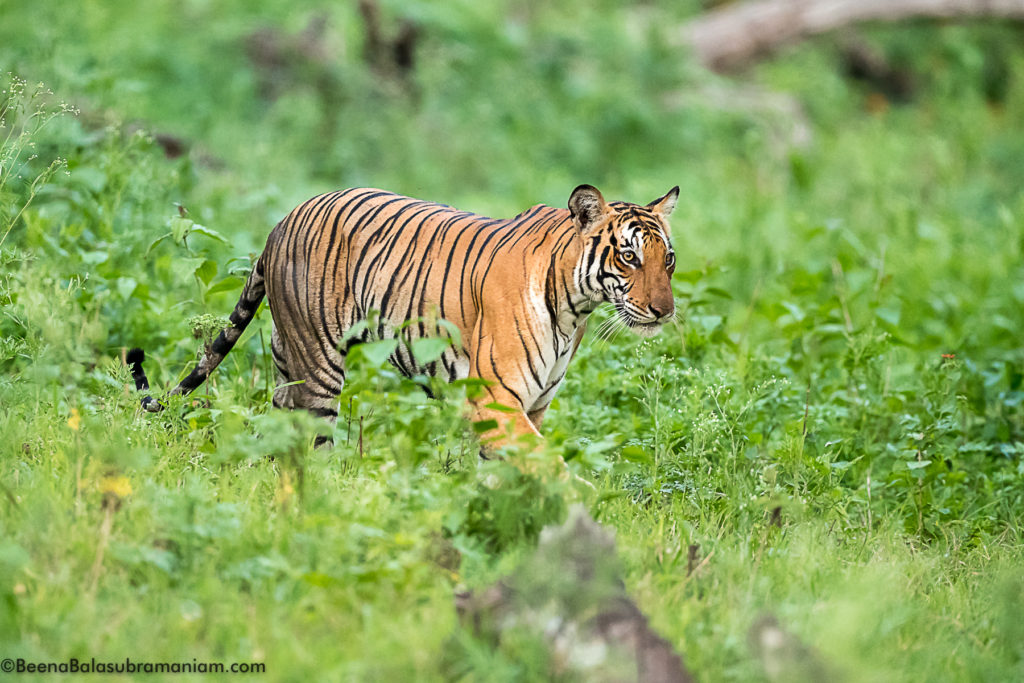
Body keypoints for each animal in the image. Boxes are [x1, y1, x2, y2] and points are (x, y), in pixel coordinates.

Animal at [132, 187, 679, 450]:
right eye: (629, 257)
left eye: (668, 259)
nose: (665, 311)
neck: (573, 308)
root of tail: (279, 224)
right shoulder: (496, 397)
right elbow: (545, 463)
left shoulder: (534, 404)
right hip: (320, 364)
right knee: (313, 438)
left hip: (290, 359)